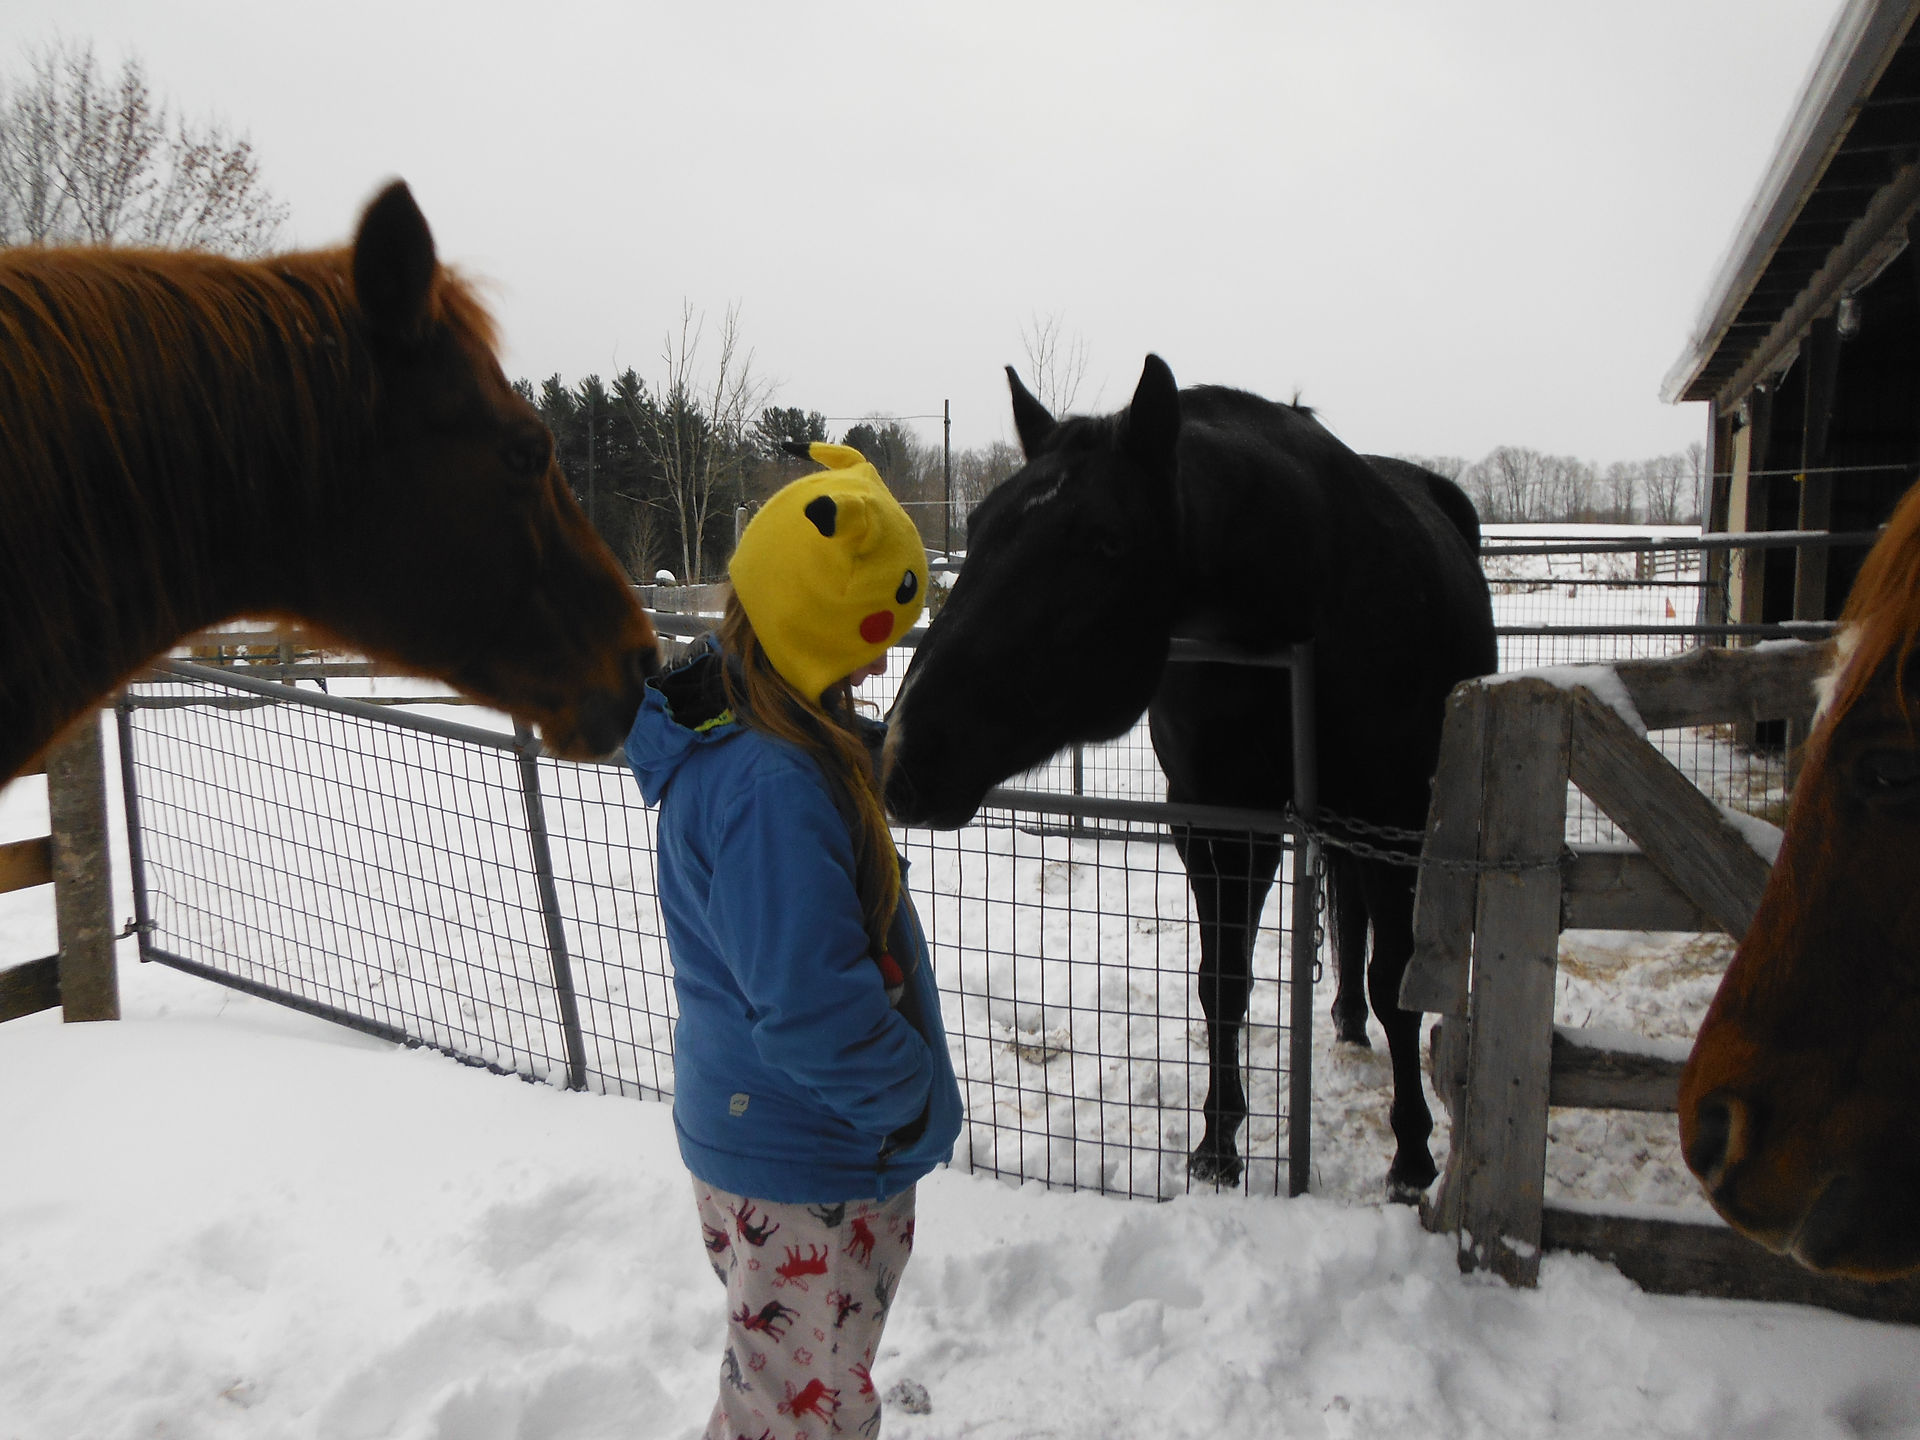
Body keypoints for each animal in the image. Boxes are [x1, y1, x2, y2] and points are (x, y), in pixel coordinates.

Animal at [882, 355, 1496, 1198]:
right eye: (976, 531)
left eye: (1105, 541)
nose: (902, 752)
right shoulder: (1217, 822)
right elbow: (1221, 984)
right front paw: (1217, 1144)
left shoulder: (1393, 817)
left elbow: (1397, 981)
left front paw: (1411, 1156)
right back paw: (1341, 1017)